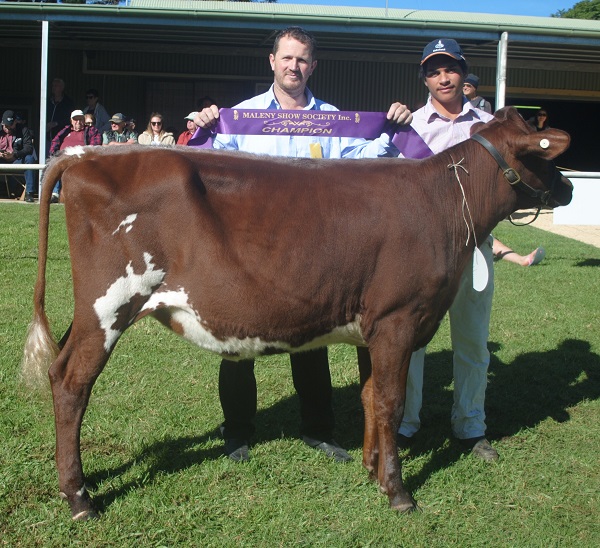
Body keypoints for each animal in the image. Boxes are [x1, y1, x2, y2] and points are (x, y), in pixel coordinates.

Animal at [23, 108, 572, 520]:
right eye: (544, 158)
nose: (568, 188)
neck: (443, 202)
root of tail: (88, 156)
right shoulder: (398, 319)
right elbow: (391, 403)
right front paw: (398, 492)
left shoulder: (373, 327)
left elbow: (371, 398)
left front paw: (373, 470)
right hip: (110, 304)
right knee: (72, 383)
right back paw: (79, 498)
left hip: (91, 312)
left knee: (60, 370)